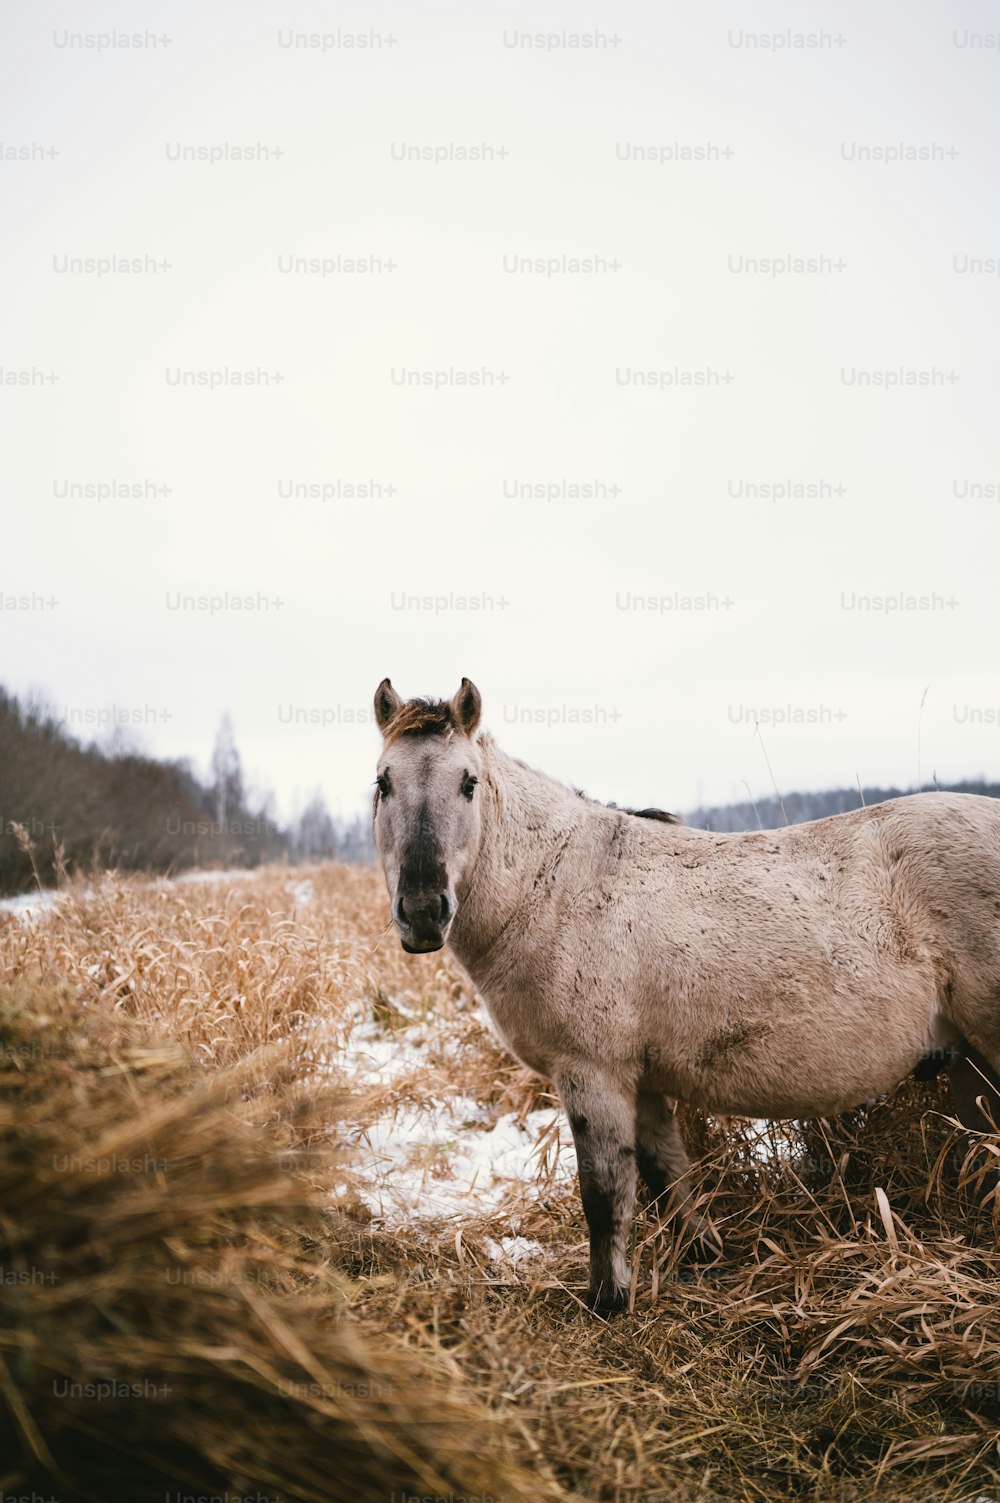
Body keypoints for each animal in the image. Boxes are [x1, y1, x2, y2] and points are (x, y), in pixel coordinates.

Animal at [369, 676, 998, 1310]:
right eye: (384, 783)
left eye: (468, 783)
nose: (422, 911)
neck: (554, 884)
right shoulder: (641, 1079)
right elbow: (666, 1175)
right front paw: (703, 1253)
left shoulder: (593, 1073)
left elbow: (605, 1194)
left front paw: (607, 1301)